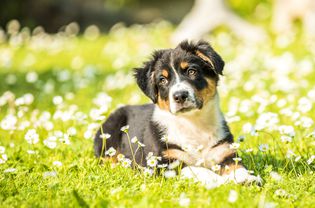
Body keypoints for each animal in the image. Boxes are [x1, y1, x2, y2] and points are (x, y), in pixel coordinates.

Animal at [95, 40, 258, 184]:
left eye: (192, 71)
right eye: (162, 80)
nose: (180, 96)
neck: (194, 124)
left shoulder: (225, 151)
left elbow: (237, 166)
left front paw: (247, 178)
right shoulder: (167, 163)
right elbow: (198, 169)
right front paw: (220, 181)